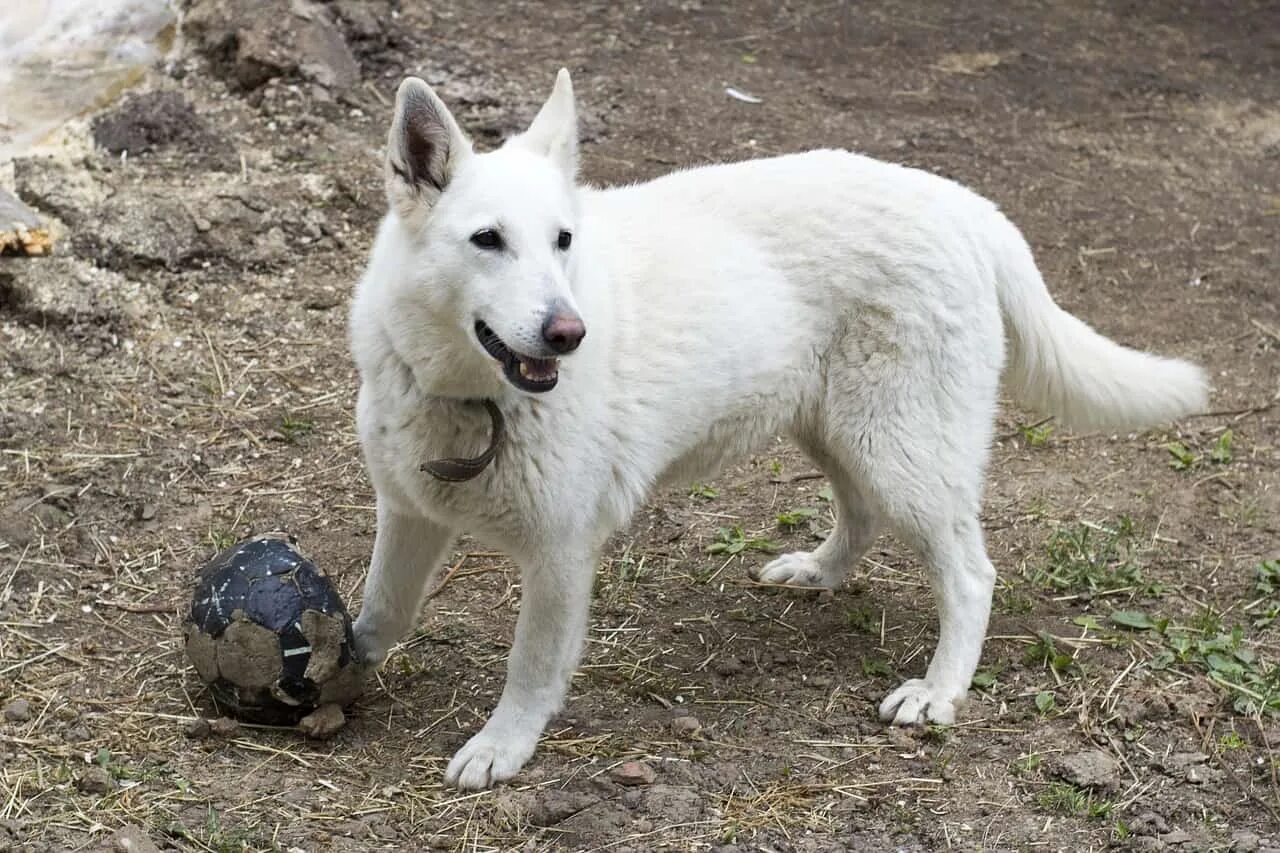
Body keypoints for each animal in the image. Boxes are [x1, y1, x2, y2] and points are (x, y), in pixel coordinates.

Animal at [345, 69, 1203, 788]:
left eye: (563, 241)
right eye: (487, 240)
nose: (569, 333)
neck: (469, 396)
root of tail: (965, 205)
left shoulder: (560, 553)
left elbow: (529, 668)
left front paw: (501, 745)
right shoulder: (408, 515)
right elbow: (379, 609)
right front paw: (337, 664)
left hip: (902, 453)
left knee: (969, 573)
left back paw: (938, 690)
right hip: (838, 432)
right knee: (860, 515)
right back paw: (819, 571)